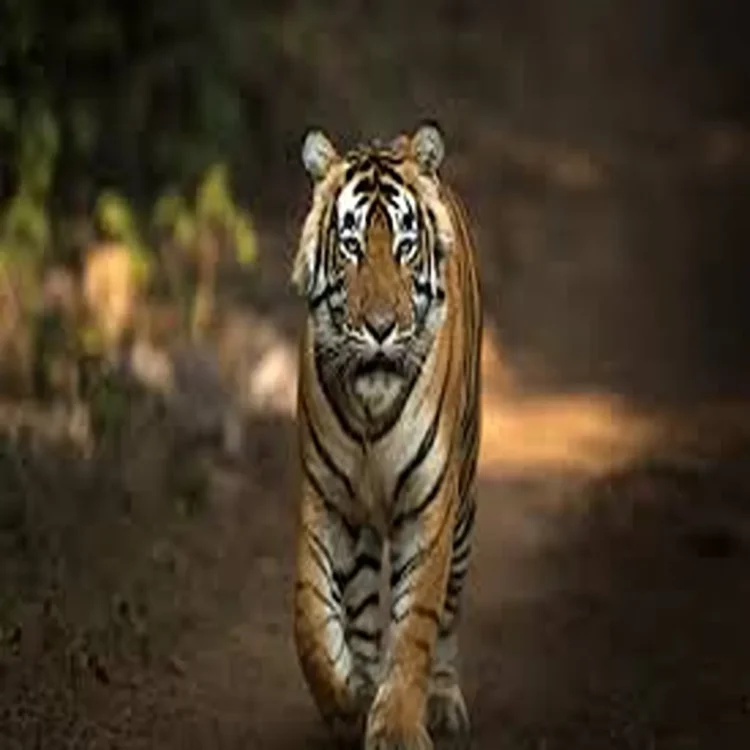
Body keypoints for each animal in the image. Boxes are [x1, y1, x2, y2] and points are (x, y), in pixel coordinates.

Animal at [291, 121, 482, 750]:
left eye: (404, 247)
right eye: (351, 246)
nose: (380, 328)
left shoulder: (430, 505)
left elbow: (416, 623)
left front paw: (397, 724)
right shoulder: (325, 499)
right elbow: (309, 614)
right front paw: (345, 695)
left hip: (464, 508)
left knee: (447, 614)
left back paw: (442, 700)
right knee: (361, 607)